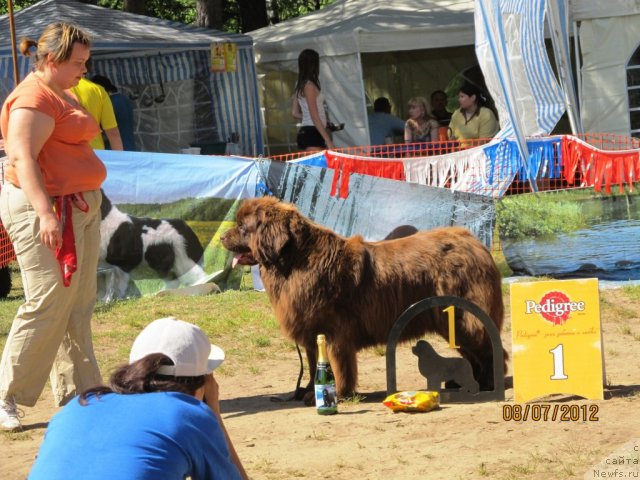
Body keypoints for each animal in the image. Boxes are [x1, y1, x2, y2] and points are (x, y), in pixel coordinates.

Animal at [222, 198, 508, 398]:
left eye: (242, 227)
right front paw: (310, 391)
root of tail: (476, 244)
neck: (295, 262)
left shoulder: (333, 331)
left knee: (488, 348)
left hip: (464, 318)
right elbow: (314, 363)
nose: (223, 236)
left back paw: (487, 383)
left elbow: (336, 363)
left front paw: (336, 392)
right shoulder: (310, 332)